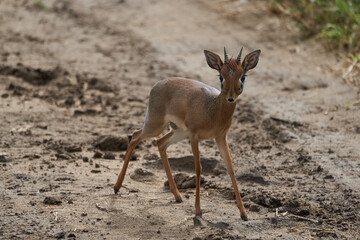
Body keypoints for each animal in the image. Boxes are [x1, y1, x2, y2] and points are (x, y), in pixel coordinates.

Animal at [115, 47, 262, 221]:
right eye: (221, 75)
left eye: (243, 76)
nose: (231, 97)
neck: (212, 110)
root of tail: (158, 84)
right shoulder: (194, 136)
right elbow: (198, 168)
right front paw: (198, 211)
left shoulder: (220, 137)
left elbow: (230, 168)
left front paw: (244, 213)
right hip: (156, 125)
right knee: (135, 136)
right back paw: (116, 187)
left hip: (178, 132)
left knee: (160, 143)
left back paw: (177, 196)